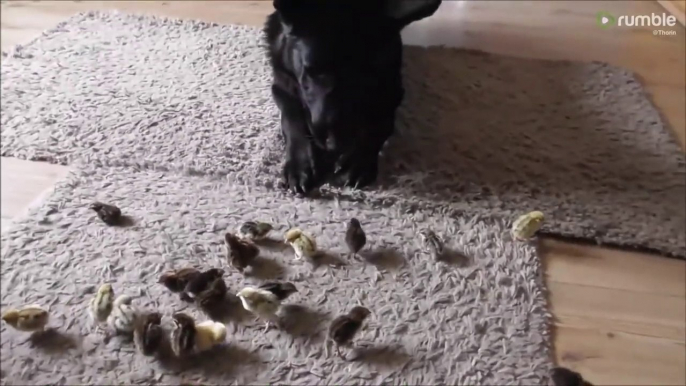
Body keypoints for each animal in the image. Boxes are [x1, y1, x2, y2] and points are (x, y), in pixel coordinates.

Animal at [266, 0, 444, 195]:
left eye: (366, 76)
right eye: (311, 69)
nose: (334, 146)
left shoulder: (392, 91)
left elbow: (381, 124)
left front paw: (358, 163)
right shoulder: (282, 87)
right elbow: (293, 121)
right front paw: (300, 165)